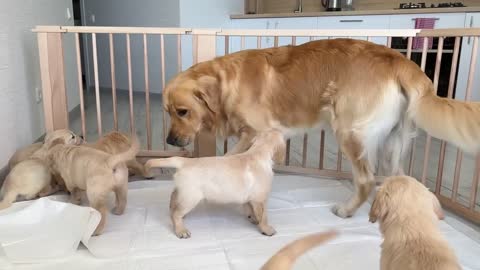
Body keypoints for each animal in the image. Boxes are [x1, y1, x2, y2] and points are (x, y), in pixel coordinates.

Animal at [146, 130, 284, 238]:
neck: (258, 152)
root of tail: (184, 161)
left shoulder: (251, 197)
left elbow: (250, 209)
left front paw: (253, 219)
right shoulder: (260, 199)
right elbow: (264, 216)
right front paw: (266, 229)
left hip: (183, 191)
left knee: (173, 198)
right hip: (191, 197)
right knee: (176, 213)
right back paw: (181, 230)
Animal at [163, 38, 480, 219]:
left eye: (183, 111)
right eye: (167, 112)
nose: (170, 141)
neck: (227, 82)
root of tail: (402, 61)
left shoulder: (258, 131)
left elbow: (232, 158)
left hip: (350, 131)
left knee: (366, 180)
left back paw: (346, 210)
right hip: (394, 142)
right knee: (399, 177)